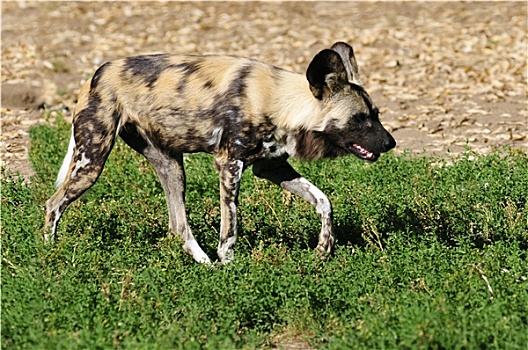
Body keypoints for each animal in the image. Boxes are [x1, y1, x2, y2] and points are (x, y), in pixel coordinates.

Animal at [45, 41, 396, 262]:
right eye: (360, 119)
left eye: (376, 114)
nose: (391, 143)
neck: (278, 101)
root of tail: (98, 73)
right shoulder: (230, 165)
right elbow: (230, 228)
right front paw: (230, 266)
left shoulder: (271, 168)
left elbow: (324, 201)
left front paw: (324, 249)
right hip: (92, 161)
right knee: (53, 204)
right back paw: (50, 254)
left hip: (171, 167)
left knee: (178, 227)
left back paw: (204, 264)